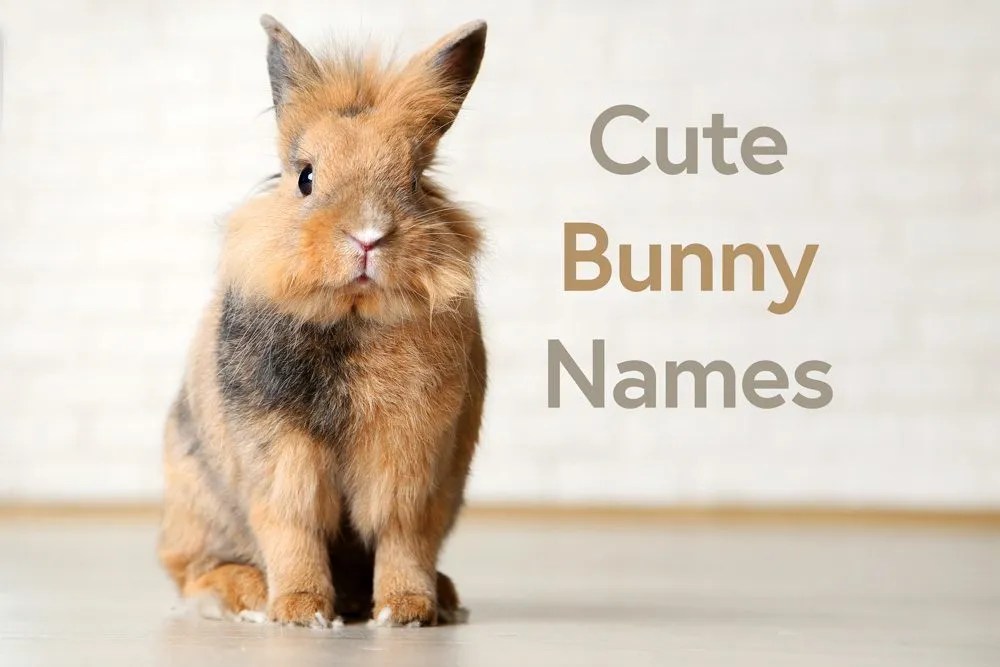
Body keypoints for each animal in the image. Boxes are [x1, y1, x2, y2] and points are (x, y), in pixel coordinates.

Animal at [157, 14, 488, 628]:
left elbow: (404, 536)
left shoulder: (412, 461)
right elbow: (294, 529)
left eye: (415, 179)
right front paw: (301, 612)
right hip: (198, 503)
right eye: (305, 177)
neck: (352, 317)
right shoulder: (281, 458)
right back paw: (246, 595)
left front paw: (406, 612)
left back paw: (439, 597)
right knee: (195, 571)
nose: (368, 236)